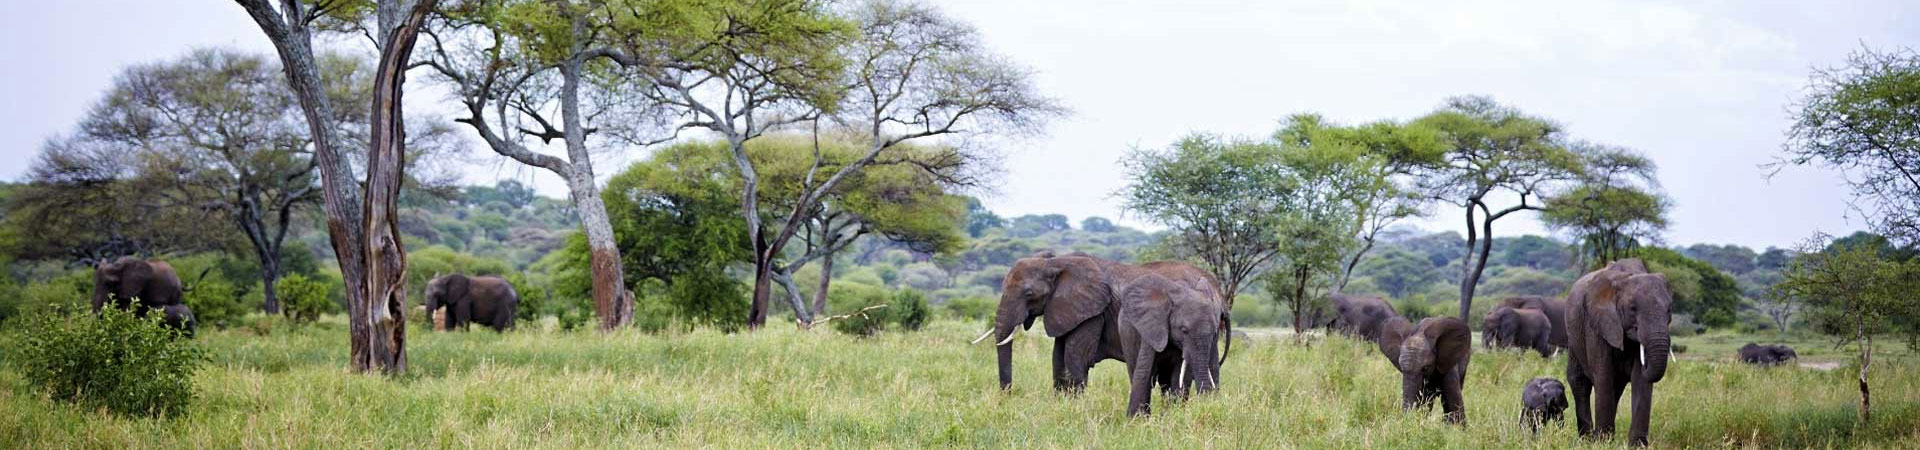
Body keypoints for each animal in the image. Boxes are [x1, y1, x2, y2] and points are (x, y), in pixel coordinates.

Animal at [1121, 273, 1221, 417]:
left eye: (1215, 333)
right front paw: (1136, 419)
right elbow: (1144, 369)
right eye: (1184, 330)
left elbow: (1179, 374)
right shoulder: (1152, 325)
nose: (1207, 407)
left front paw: (1174, 414)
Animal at [1566, 257, 1674, 448]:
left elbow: (1640, 381)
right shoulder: (1596, 325)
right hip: (1574, 337)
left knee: (1615, 388)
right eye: (1632, 308)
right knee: (1579, 381)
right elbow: (1603, 376)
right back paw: (1587, 439)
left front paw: (1637, 446)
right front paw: (1601, 443)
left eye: (1669, 309)